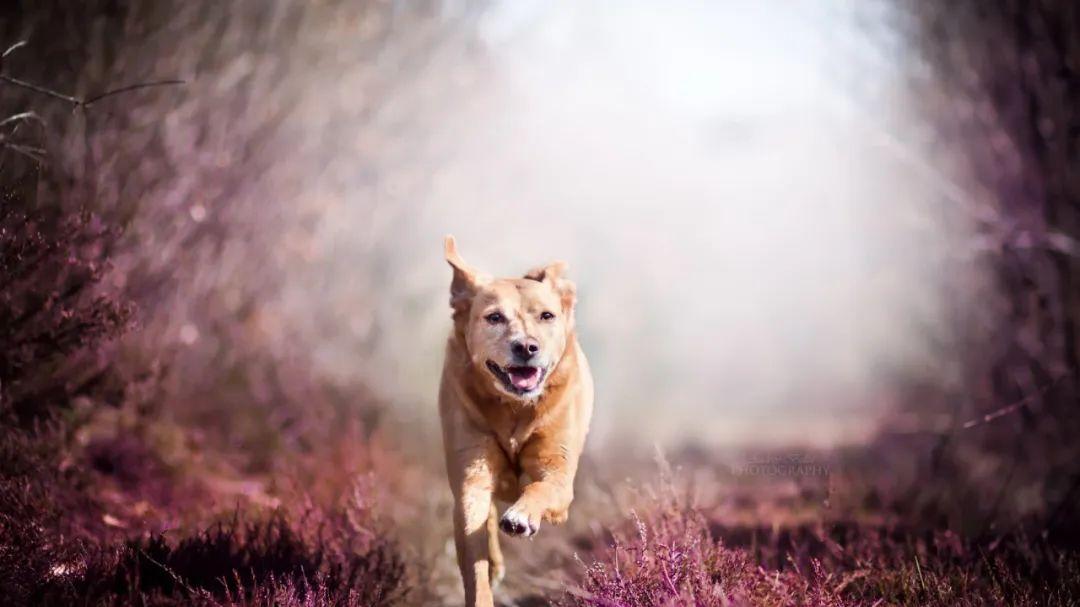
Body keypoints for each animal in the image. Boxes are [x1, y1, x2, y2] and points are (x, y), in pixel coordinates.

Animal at [436, 234, 591, 600]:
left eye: (547, 316)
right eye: (494, 318)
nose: (526, 347)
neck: (514, 409)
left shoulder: (558, 477)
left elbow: (540, 488)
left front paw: (522, 516)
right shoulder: (471, 475)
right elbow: (475, 558)